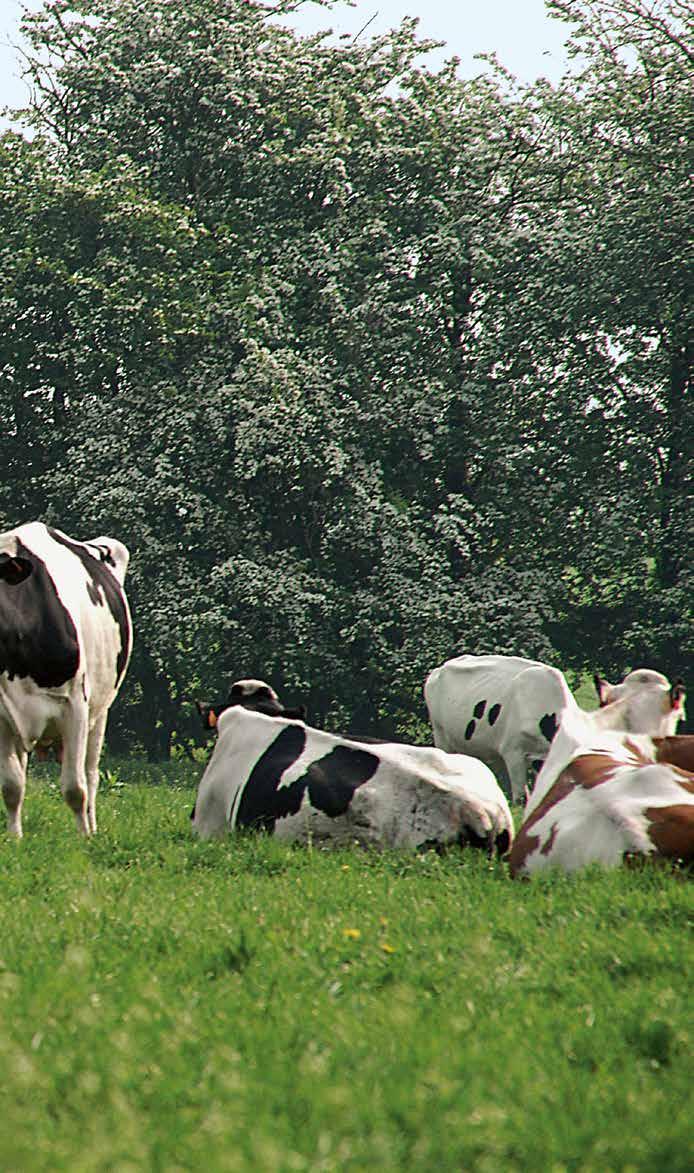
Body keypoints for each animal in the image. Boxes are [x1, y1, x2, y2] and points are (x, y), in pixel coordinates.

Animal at [0, 520, 131, 835]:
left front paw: (83, 838)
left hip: (101, 710)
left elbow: (75, 787)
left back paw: (93, 827)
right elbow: (11, 786)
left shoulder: (75, 706)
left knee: (91, 773)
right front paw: (15, 838)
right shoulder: (3, 714)